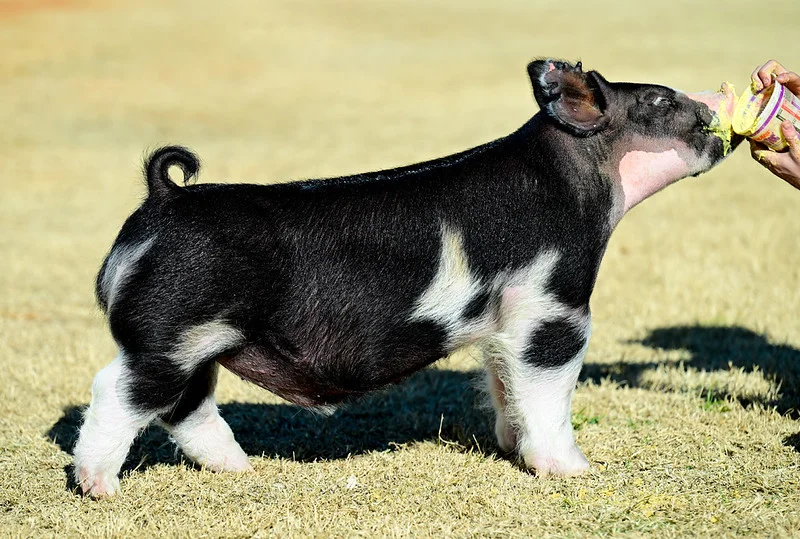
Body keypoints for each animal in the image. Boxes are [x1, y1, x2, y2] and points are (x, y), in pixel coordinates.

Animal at [73, 59, 740, 497]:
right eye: (658, 101)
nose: (715, 103)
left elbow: (504, 384)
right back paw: (99, 486)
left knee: (185, 407)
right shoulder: (555, 308)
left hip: (201, 342)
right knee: (118, 391)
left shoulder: (506, 323)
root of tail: (163, 200)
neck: (572, 184)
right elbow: (549, 391)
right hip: (170, 333)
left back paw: (240, 470)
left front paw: (509, 448)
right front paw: (573, 470)